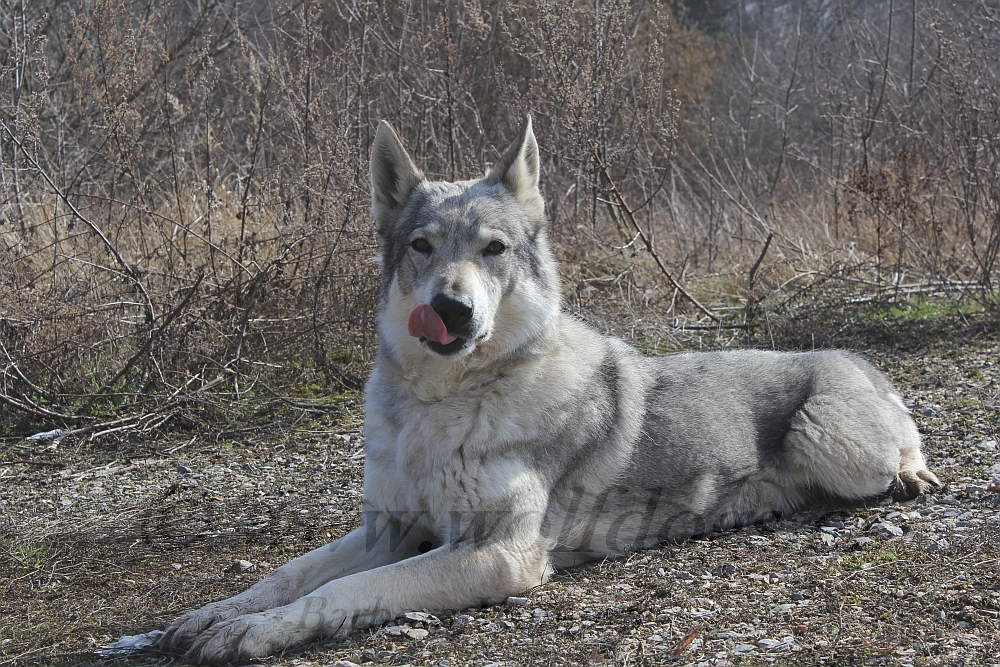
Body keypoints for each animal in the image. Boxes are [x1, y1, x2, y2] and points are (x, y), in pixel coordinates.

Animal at [160, 116, 940, 664]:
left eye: (494, 249)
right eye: (422, 247)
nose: (451, 309)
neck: (436, 408)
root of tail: (848, 354)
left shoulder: (498, 552)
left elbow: (341, 590)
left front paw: (255, 633)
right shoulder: (390, 525)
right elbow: (290, 574)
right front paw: (214, 617)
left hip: (838, 446)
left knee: (902, 454)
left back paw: (914, 475)